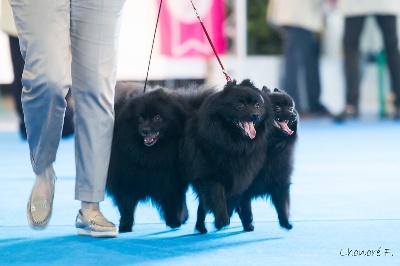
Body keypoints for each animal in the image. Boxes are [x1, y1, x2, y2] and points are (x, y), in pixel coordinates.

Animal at [106, 84, 191, 232]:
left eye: (157, 118)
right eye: (139, 119)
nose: (144, 130)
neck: (150, 155)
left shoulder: (170, 180)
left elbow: (171, 201)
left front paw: (174, 221)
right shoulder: (126, 179)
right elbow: (126, 206)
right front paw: (125, 225)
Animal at [182, 79, 274, 233]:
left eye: (257, 106)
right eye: (240, 106)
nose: (255, 114)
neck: (233, 144)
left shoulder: (243, 175)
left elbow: (237, 197)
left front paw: (233, 216)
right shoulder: (209, 174)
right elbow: (218, 194)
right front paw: (221, 219)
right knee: (202, 205)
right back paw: (201, 227)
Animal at [236, 87, 298, 231]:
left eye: (291, 108)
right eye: (278, 108)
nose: (293, 115)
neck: (271, 147)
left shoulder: (280, 179)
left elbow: (283, 203)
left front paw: (285, 222)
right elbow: (246, 208)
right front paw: (248, 224)